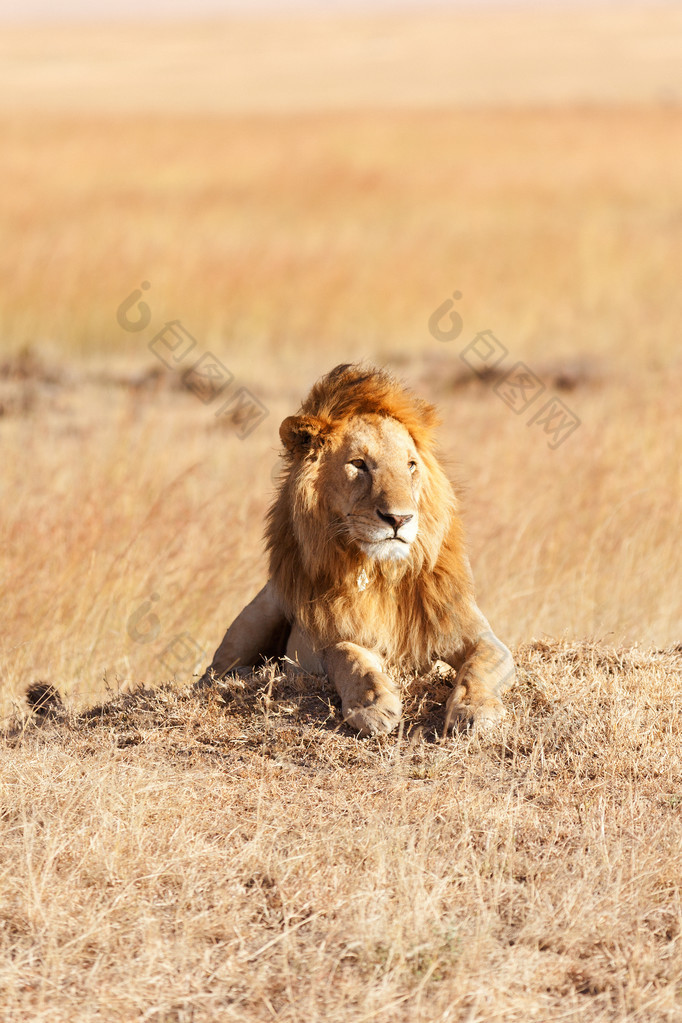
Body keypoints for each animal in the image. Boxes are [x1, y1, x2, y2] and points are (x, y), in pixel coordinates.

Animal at [200, 366, 515, 736]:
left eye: (410, 465)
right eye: (359, 464)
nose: (400, 518)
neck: (383, 574)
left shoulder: (477, 635)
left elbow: (479, 666)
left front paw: (474, 710)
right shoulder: (323, 643)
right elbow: (350, 657)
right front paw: (372, 705)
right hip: (262, 610)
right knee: (212, 673)